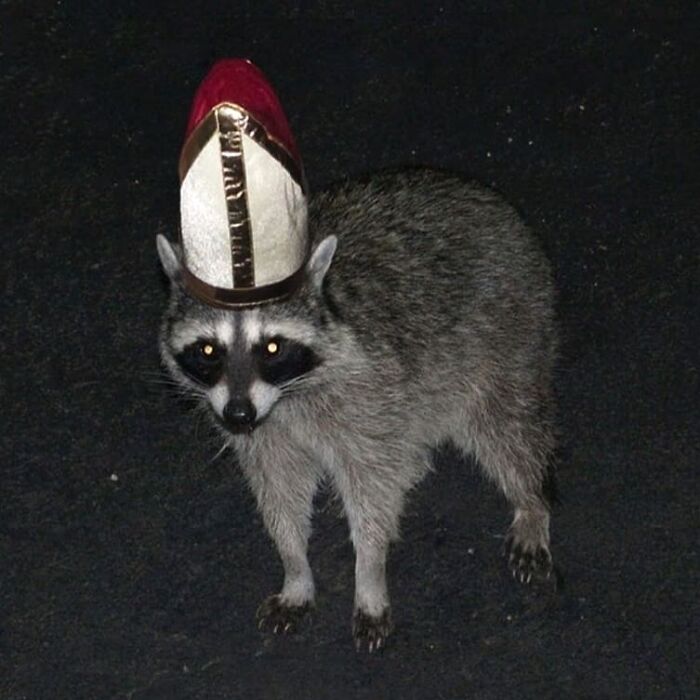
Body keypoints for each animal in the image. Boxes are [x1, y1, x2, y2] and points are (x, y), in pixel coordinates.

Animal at [157, 168, 558, 652]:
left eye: (271, 347)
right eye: (208, 350)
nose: (238, 416)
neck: (286, 396)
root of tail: (486, 196)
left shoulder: (367, 395)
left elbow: (372, 493)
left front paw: (369, 571)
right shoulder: (267, 432)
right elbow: (280, 492)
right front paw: (294, 566)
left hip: (510, 331)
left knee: (507, 428)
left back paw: (531, 501)